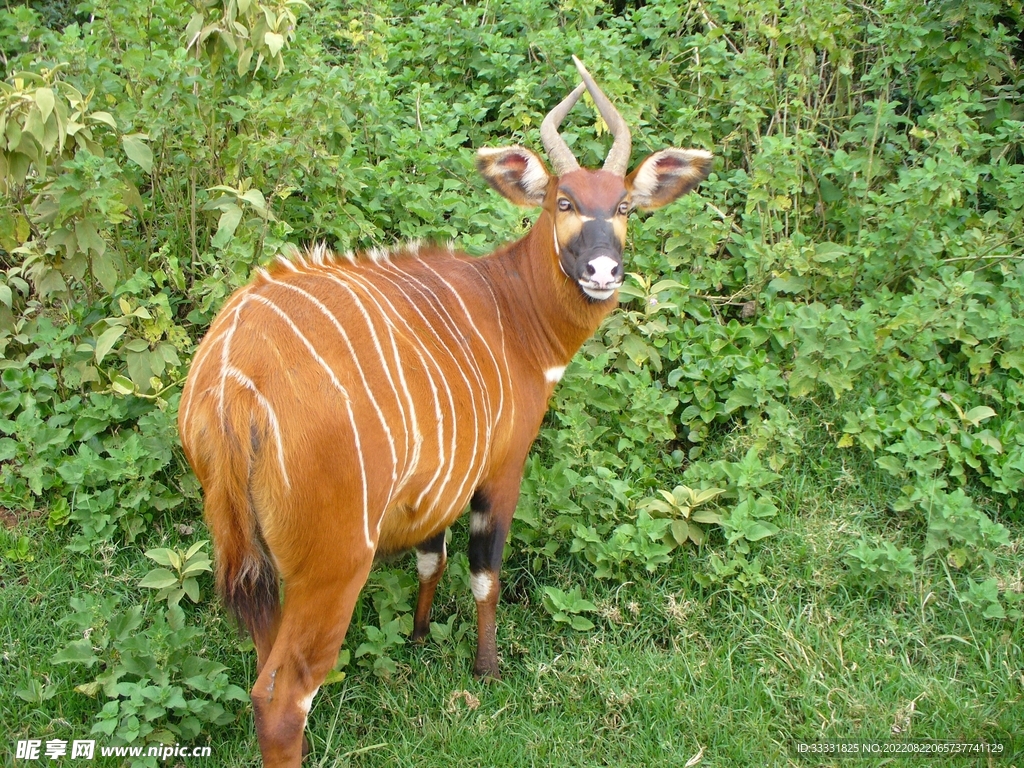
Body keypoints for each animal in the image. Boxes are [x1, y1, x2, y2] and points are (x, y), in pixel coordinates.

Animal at [178, 56, 713, 766]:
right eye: (562, 201)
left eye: (623, 205)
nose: (603, 271)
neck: (511, 308)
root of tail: (230, 385)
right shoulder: (500, 469)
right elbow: (485, 574)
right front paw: (486, 671)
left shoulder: (435, 485)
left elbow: (431, 558)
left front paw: (419, 638)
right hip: (334, 562)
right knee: (281, 697)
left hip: (255, 555)